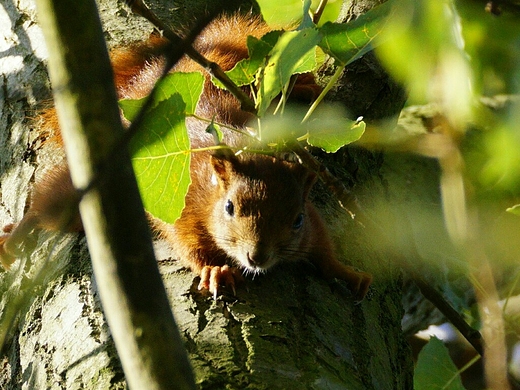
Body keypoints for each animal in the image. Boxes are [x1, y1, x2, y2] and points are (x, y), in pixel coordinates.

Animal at [1, 12, 374, 298]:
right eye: (229, 207)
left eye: (295, 219)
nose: (257, 256)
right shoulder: (185, 206)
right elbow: (187, 244)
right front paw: (213, 269)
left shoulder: (309, 221)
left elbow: (323, 245)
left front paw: (348, 272)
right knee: (52, 202)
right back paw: (18, 232)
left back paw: (305, 88)